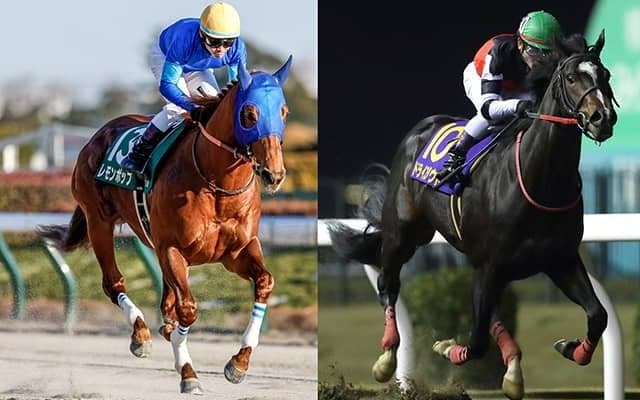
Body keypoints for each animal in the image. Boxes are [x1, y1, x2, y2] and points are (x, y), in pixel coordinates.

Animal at [37, 55, 293, 394]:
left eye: (283, 111)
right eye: (249, 114)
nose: (274, 175)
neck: (216, 183)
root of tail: (97, 135)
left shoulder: (236, 252)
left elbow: (264, 283)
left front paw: (238, 363)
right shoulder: (172, 248)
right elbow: (188, 309)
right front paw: (188, 372)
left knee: (165, 300)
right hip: (98, 221)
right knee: (114, 283)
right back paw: (140, 335)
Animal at [327, 31, 617, 400]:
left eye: (604, 75)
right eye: (570, 78)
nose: (602, 118)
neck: (539, 179)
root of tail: (423, 127)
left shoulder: (559, 260)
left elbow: (598, 315)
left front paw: (570, 348)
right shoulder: (492, 264)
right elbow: (476, 343)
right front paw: (446, 347)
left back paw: (513, 366)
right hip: (404, 234)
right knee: (387, 284)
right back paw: (387, 357)